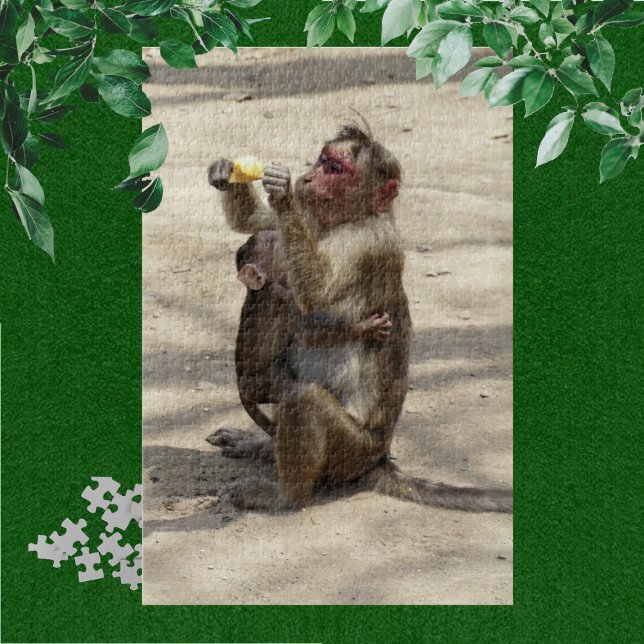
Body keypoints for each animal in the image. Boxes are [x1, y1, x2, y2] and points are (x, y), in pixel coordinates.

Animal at [207, 124, 512, 513]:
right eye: (322, 160)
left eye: (336, 169)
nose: (306, 178)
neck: (348, 218)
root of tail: (377, 459)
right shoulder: (310, 217)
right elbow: (255, 222)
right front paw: (224, 173)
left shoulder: (367, 242)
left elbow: (316, 299)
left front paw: (282, 195)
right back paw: (262, 447)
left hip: (350, 451)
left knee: (304, 398)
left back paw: (288, 496)